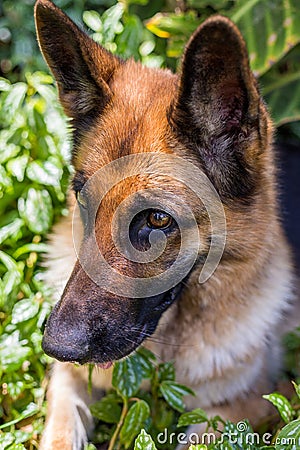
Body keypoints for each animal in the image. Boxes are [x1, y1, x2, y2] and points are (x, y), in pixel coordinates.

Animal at [34, 0, 296, 450]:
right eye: (82, 199)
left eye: (157, 218)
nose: (56, 346)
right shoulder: (67, 383)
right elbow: (60, 431)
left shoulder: (252, 405)